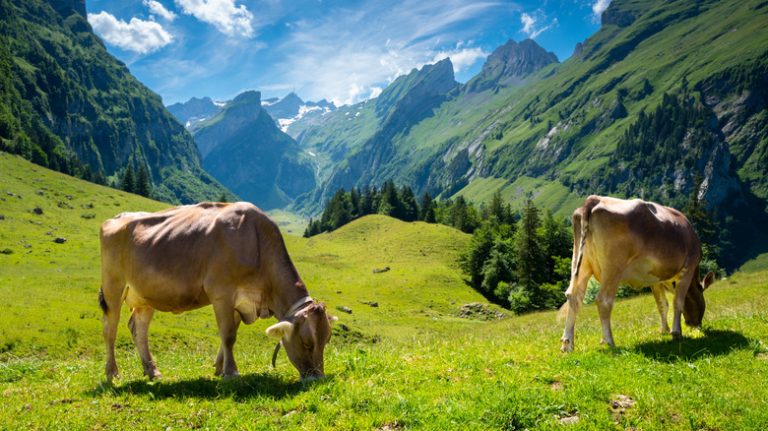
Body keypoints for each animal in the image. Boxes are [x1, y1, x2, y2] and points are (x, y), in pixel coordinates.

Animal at [97, 202, 334, 382]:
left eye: (327, 340)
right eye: (307, 343)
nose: (317, 378)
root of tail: (118, 217)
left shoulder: (241, 302)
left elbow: (228, 335)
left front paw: (220, 368)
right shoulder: (222, 293)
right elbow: (228, 335)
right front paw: (231, 372)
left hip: (145, 295)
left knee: (139, 329)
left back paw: (152, 371)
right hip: (113, 285)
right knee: (110, 329)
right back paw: (112, 373)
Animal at [560, 197, 712, 354]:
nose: (696, 325)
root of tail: (594, 199)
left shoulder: (656, 279)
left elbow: (662, 304)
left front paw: (664, 330)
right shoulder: (688, 267)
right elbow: (678, 301)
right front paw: (676, 333)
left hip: (581, 262)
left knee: (574, 296)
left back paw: (567, 344)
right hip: (613, 268)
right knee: (603, 300)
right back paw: (609, 342)